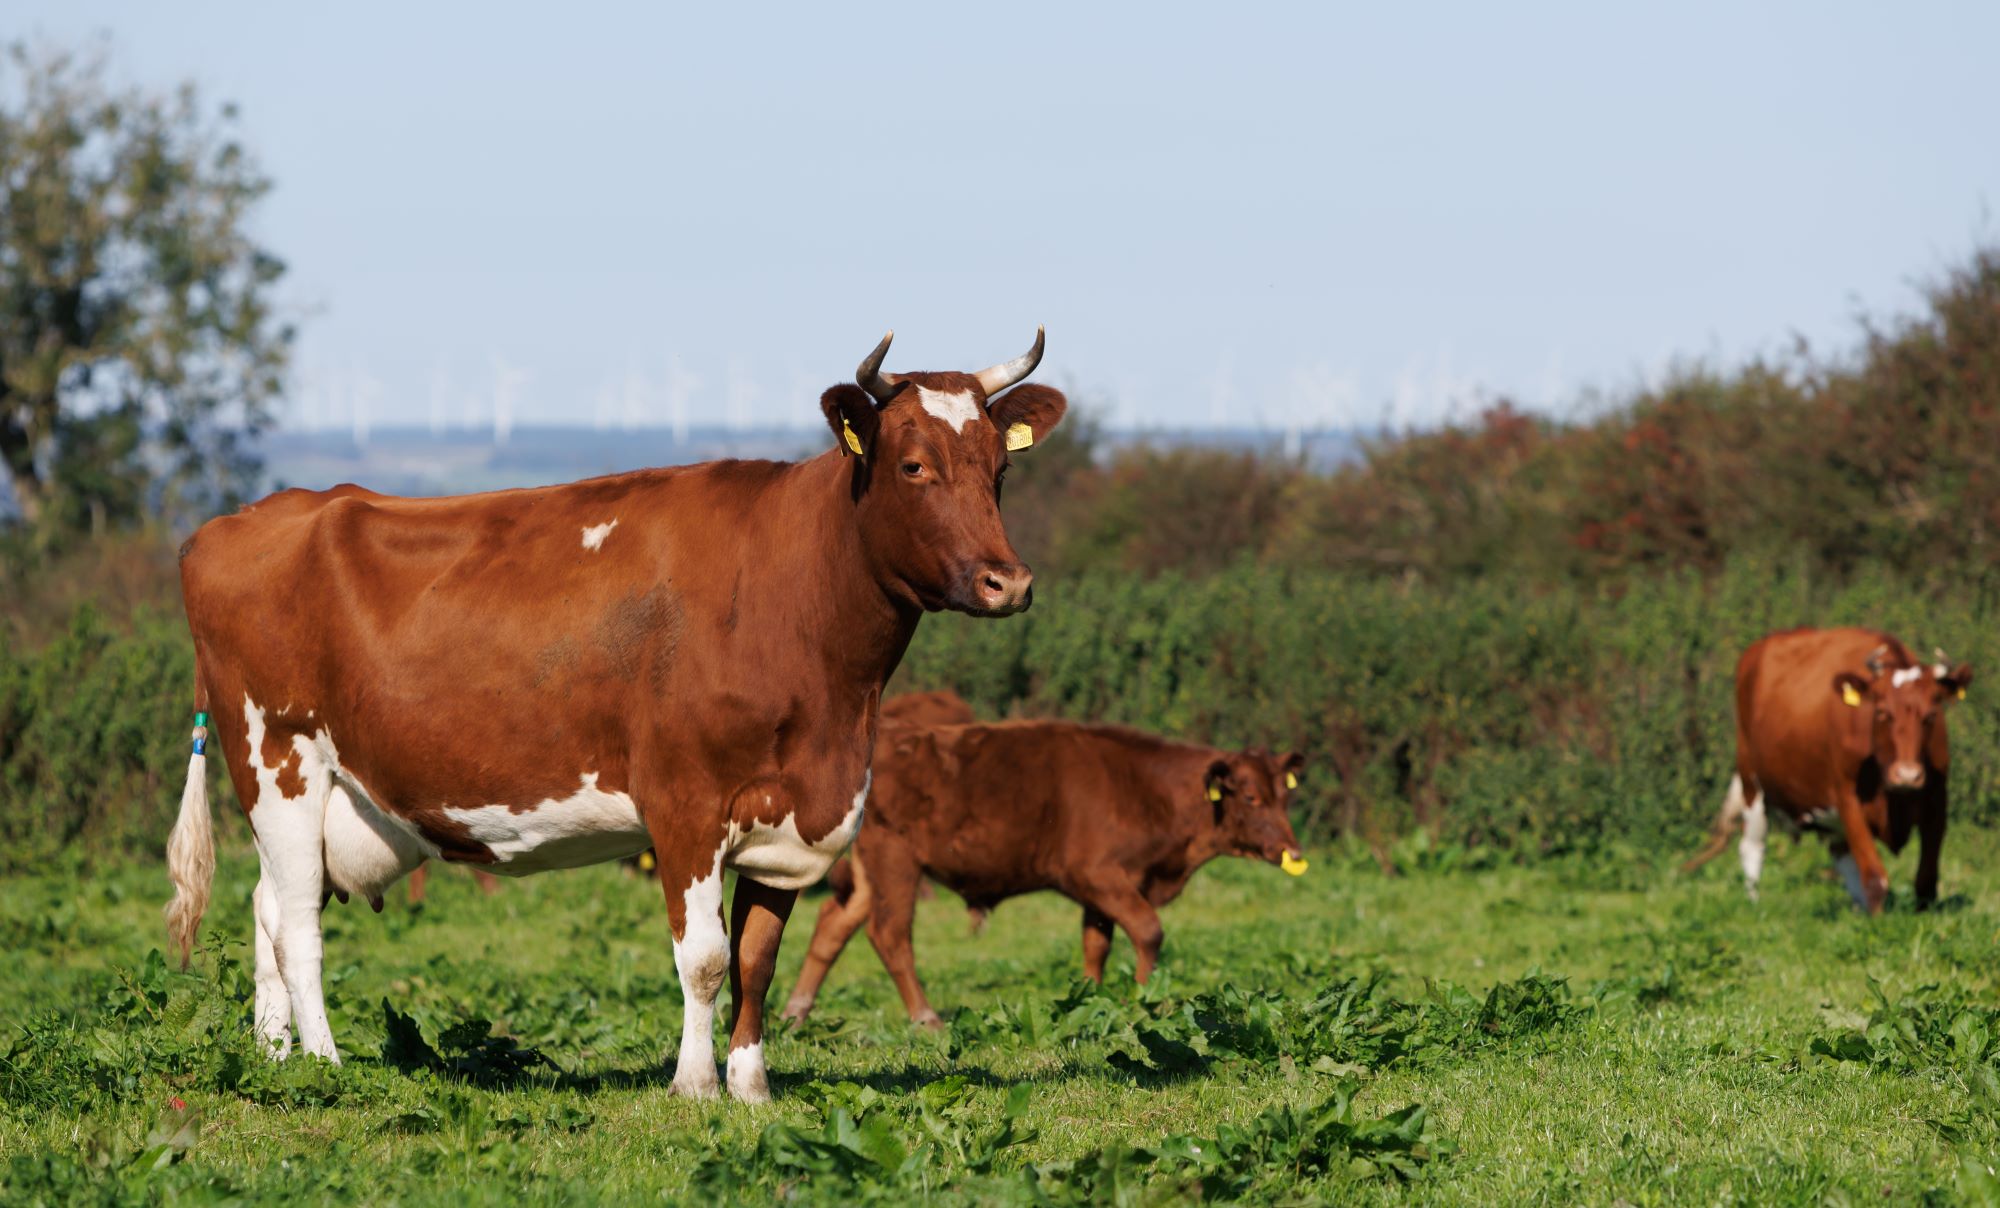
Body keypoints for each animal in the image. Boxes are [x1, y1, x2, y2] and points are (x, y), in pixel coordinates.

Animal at [162, 330, 1067, 1101]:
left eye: (999, 469)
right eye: (912, 465)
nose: (1008, 582)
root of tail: (240, 521)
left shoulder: (788, 818)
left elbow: (759, 960)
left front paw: (751, 1087)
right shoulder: (685, 803)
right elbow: (704, 958)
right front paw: (694, 1085)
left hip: (324, 792)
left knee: (268, 908)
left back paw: (275, 1060)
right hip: (278, 757)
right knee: (298, 926)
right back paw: (324, 1062)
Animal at [779, 717, 1308, 1028]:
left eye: (1286, 794)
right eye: (1250, 796)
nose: (1291, 848)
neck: (1145, 789)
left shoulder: (1101, 892)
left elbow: (1096, 944)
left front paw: (1091, 998)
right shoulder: (1098, 874)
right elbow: (1148, 930)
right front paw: (1145, 997)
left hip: (872, 872)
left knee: (833, 924)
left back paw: (796, 1011)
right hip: (896, 862)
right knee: (889, 934)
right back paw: (927, 1018)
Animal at [1682, 626, 1972, 913]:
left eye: (1931, 715)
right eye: (1881, 712)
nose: (1907, 775)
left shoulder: (1937, 800)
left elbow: (1926, 881)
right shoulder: (1848, 799)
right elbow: (1875, 878)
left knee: (1842, 857)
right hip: (1751, 781)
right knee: (1752, 847)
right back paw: (1755, 906)